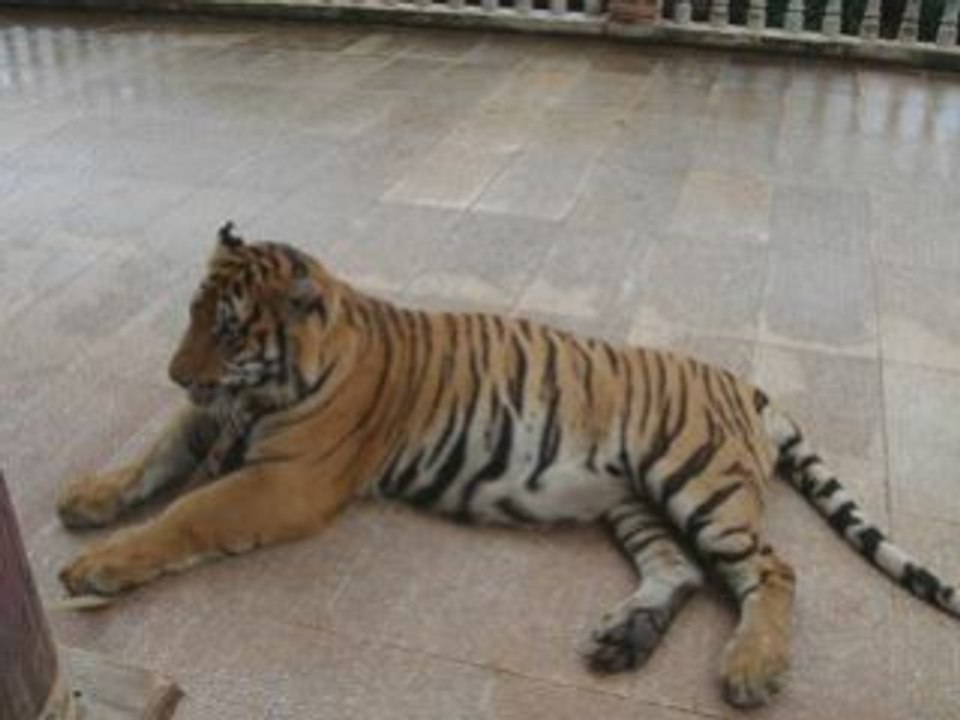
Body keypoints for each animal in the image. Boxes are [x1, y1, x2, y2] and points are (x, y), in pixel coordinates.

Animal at [58, 222, 960, 709]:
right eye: (192, 314)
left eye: (230, 329)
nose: (176, 373)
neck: (264, 390)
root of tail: (743, 379)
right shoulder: (212, 421)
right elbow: (149, 463)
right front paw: (87, 498)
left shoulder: (288, 480)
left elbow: (186, 513)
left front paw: (96, 566)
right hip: (631, 499)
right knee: (680, 570)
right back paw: (624, 639)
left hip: (696, 480)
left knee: (770, 570)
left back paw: (749, 668)